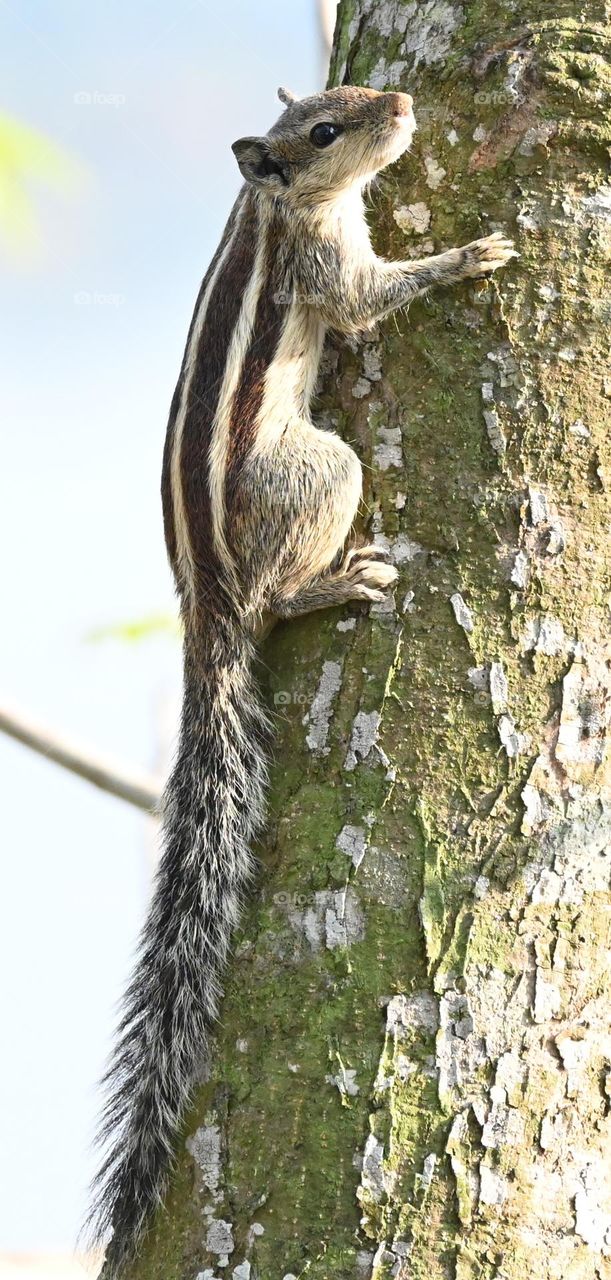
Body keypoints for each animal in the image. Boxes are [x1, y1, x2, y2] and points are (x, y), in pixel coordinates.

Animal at [88, 84, 515, 1275]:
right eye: (323, 130)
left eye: (350, 103)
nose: (401, 100)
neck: (275, 205)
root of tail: (205, 603)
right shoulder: (328, 266)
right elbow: (371, 298)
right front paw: (469, 255)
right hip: (317, 471)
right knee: (281, 595)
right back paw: (333, 582)